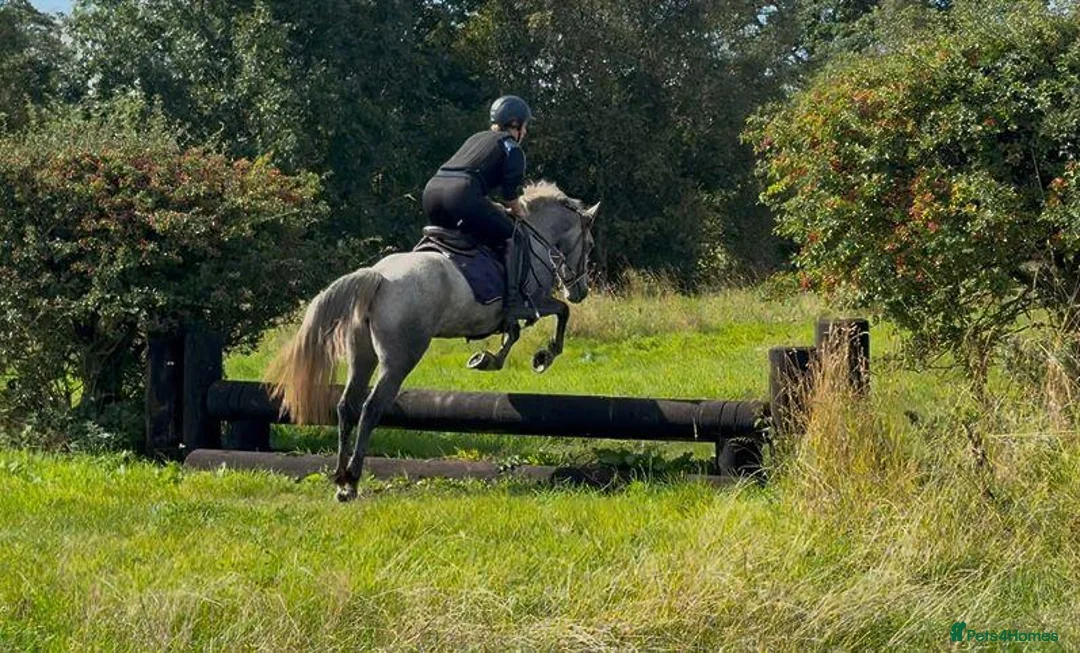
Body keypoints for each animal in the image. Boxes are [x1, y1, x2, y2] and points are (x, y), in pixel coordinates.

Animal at [266, 181, 599, 501]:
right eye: (590, 245)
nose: (580, 291)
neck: (536, 237)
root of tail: (378, 277)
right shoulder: (531, 302)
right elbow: (560, 312)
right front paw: (543, 356)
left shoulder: (512, 314)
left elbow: (516, 332)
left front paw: (488, 359)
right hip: (400, 359)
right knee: (371, 408)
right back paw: (353, 479)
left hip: (362, 354)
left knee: (347, 406)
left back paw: (340, 481)